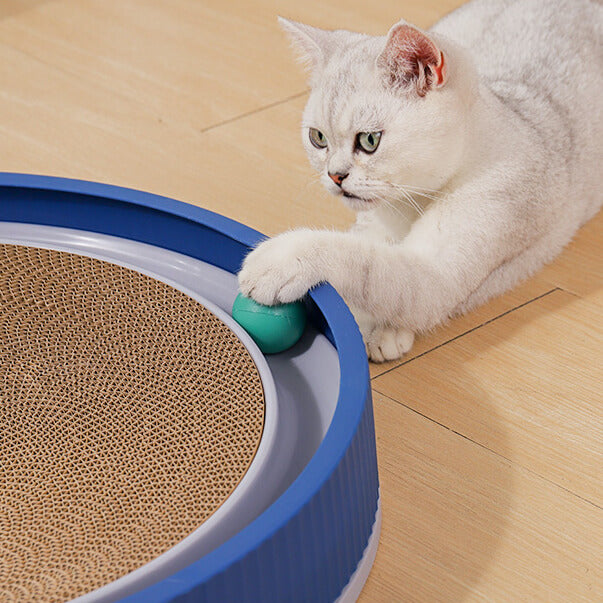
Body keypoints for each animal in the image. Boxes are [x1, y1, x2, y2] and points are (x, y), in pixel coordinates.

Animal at [238, 0, 600, 364]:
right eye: (318, 138)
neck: (411, 203)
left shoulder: (438, 273)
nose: (335, 175)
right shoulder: (372, 225)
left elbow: (366, 264)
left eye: (369, 140)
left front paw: (278, 260)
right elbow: (365, 254)